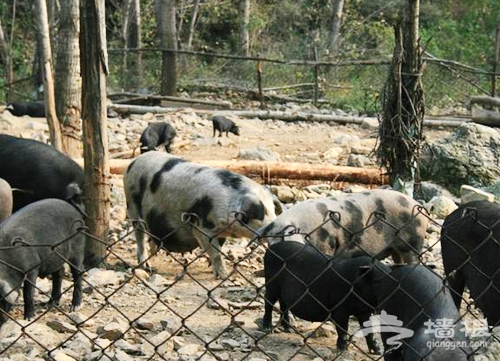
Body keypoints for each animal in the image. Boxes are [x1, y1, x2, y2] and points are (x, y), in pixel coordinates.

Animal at [124, 150, 282, 278]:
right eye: (260, 212)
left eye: (273, 210)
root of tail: (133, 162)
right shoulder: (201, 227)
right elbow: (216, 252)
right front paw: (224, 276)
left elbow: (219, 248)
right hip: (133, 204)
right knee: (140, 236)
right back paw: (147, 267)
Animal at [260, 190, 428, 262]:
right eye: (270, 241)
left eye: (283, 238)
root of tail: (418, 205)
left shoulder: (326, 244)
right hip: (395, 248)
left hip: (413, 241)